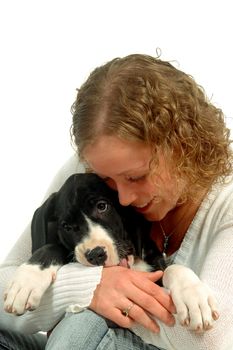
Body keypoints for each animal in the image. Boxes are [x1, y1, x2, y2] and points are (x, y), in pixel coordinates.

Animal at [3, 174, 218, 332]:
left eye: (102, 206)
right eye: (66, 226)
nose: (95, 255)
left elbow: (173, 268)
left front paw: (193, 297)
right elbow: (52, 247)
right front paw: (27, 279)